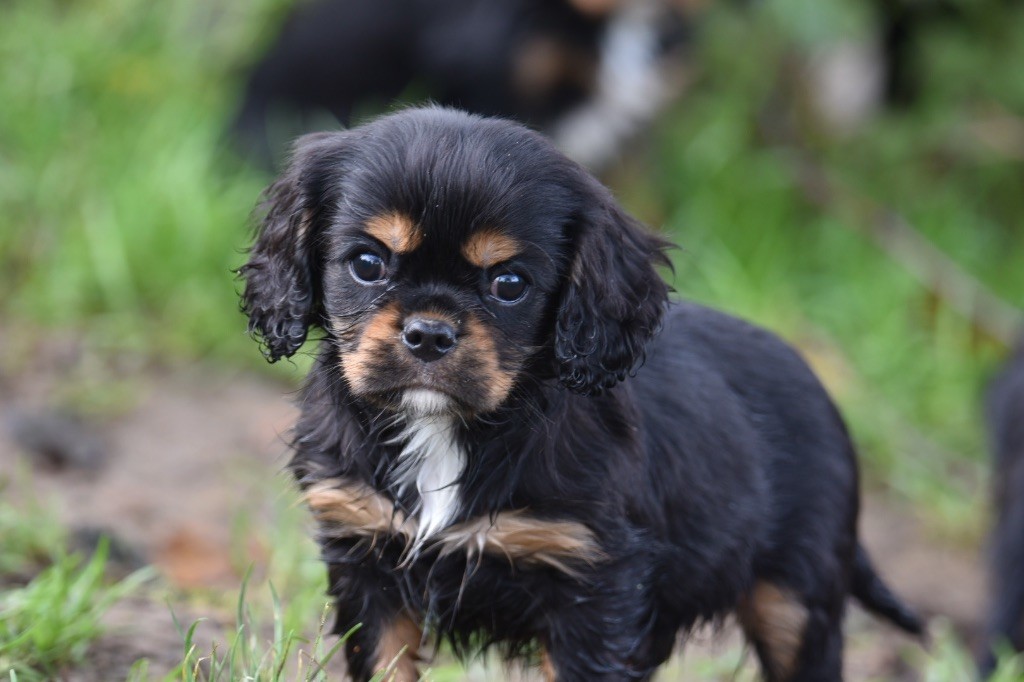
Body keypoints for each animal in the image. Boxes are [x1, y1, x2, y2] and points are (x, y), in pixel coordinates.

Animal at [237, 107, 921, 679]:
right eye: (368, 263)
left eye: (510, 283)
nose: (429, 333)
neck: (447, 429)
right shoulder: (368, 564)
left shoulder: (595, 589)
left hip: (795, 600)